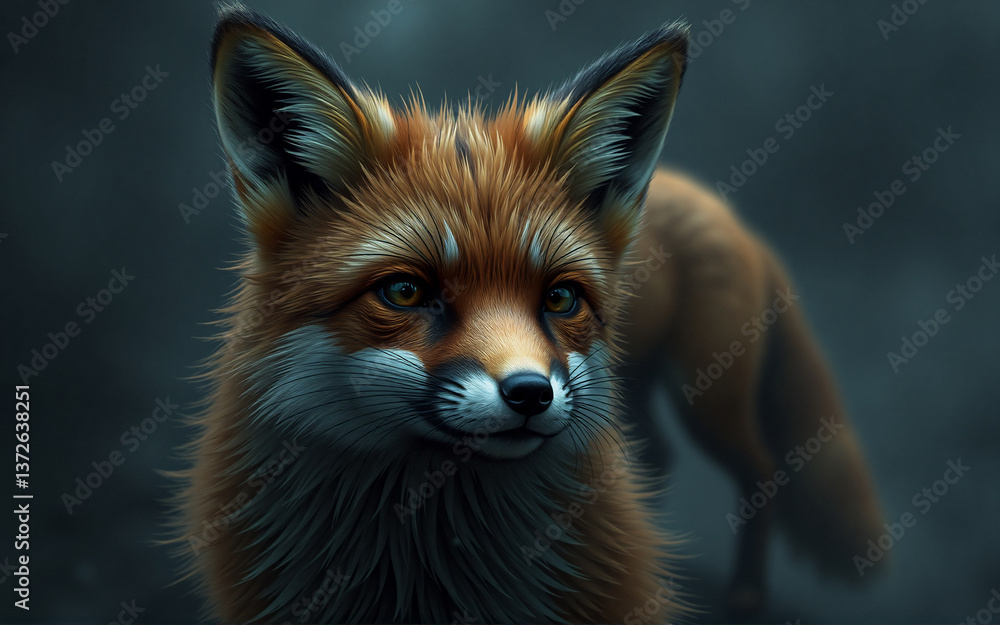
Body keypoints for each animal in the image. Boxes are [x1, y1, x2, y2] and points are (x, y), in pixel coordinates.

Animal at [174, 4, 887, 623]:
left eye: (560, 298)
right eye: (405, 292)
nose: (530, 393)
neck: (423, 559)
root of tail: (721, 207)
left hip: (705, 394)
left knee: (762, 470)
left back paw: (743, 595)